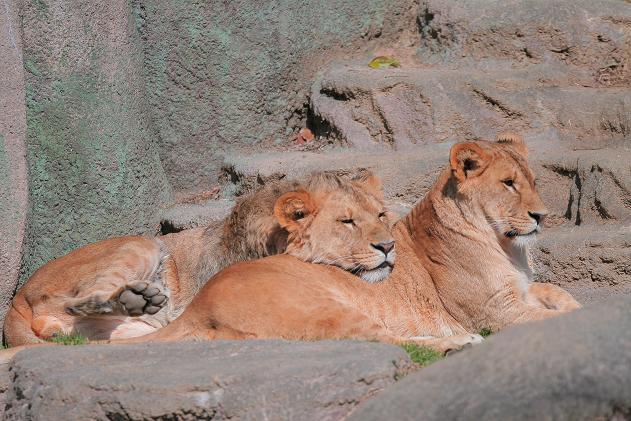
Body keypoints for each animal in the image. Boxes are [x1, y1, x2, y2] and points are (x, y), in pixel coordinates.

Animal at [3, 171, 390, 344]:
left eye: (381, 215)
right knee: (79, 302)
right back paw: (133, 297)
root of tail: (17, 299)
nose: (388, 246)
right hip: (140, 244)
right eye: (347, 222)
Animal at [111, 134, 580, 352]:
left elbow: (559, 294)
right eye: (508, 184)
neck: (507, 246)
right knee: (381, 340)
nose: (542, 216)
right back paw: (457, 344)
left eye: (534, 182)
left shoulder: (523, 291)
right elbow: (548, 317)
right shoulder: (496, 313)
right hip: (328, 309)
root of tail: (200, 305)